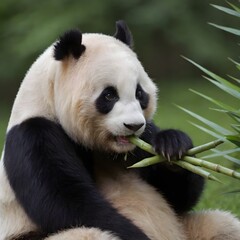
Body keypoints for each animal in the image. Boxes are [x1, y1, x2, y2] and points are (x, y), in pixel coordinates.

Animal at [0, 20, 240, 240]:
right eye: (109, 95)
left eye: (140, 93)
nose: (133, 126)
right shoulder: (33, 135)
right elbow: (68, 204)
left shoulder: (143, 139)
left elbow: (178, 197)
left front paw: (172, 146)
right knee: (89, 234)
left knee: (223, 225)